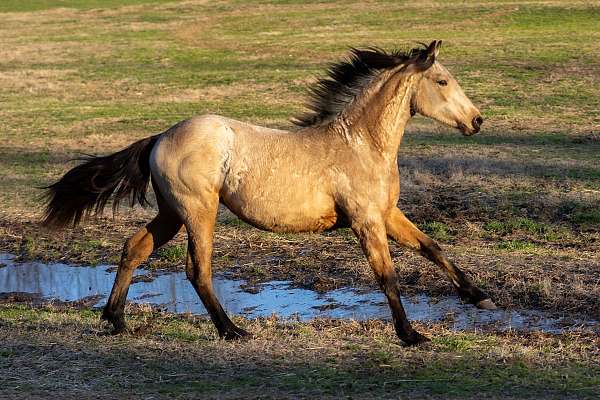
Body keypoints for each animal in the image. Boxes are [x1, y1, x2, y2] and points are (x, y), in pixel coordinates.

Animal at [43, 41, 496, 346]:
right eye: (442, 80)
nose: (476, 121)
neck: (361, 143)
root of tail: (161, 137)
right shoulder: (366, 221)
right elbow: (386, 275)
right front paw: (410, 334)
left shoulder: (387, 214)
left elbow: (432, 248)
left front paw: (479, 297)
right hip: (199, 211)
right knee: (197, 270)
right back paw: (232, 330)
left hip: (171, 212)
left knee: (134, 247)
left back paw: (115, 320)